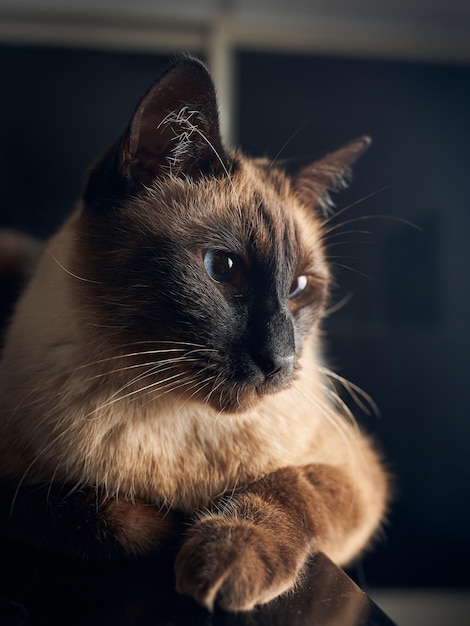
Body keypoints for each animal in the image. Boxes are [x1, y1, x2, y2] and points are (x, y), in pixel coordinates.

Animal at [0, 57, 388, 608]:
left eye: (298, 288)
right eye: (221, 268)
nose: (280, 360)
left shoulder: (357, 472)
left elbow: (290, 487)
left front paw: (225, 559)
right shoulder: (18, 490)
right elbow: (99, 514)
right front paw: (170, 530)